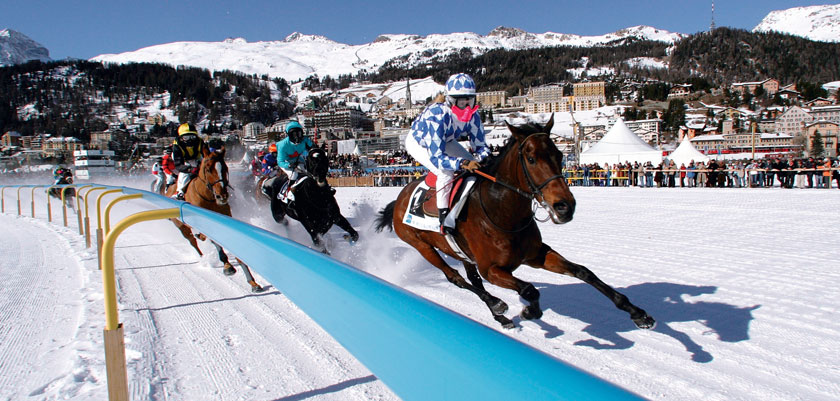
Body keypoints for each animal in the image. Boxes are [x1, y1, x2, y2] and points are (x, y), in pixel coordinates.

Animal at [166, 145, 264, 292]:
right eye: (207, 169)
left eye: (224, 167)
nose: (222, 196)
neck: (208, 198)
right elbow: (217, 244)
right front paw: (228, 266)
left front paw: (253, 282)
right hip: (181, 226)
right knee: (192, 241)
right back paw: (202, 256)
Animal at [374, 115, 656, 328]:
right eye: (531, 159)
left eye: (559, 156)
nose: (565, 206)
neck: (503, 213)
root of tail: (399, 199)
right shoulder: (493, 269)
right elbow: (530, 289)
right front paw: (529, 310)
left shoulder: (536, 254)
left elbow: (583, 271)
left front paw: (637, 312)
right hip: (422, 246)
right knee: (456, 278)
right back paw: (497, 305)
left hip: (462, 253)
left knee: (472, 280)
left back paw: (500, 316)